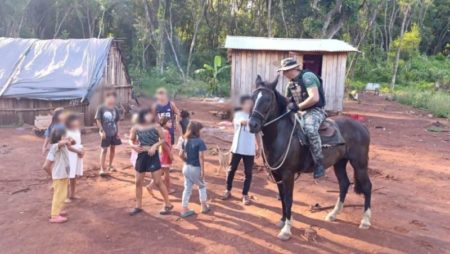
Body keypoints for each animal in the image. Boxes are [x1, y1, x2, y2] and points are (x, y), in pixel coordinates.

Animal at [248, 75, 370, 240]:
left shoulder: (288, 174)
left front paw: (286, 230)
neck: (281, 135)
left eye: (268, 99)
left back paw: (365, 221)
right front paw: (282, 220)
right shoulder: (277, 174)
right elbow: (282, 197)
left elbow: (288, 198)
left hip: (360, 164)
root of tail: (362, 126)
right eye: (253, 97)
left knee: (367, 187)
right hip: (339, 163)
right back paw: (333, 214)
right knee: (344, 184)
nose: (252, 124)